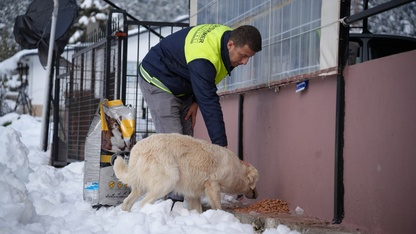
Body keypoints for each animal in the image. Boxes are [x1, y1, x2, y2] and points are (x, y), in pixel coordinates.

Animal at [112, 133, 258, 212]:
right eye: (256, 183)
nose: (256, 195)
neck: (236, 168)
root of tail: (136, 149)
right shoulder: (212, 185)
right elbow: (217, 206)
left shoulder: (193, 193)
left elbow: (196, 209)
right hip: (169, 179)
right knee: (144, 203)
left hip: (140, 185)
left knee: (127, 202)